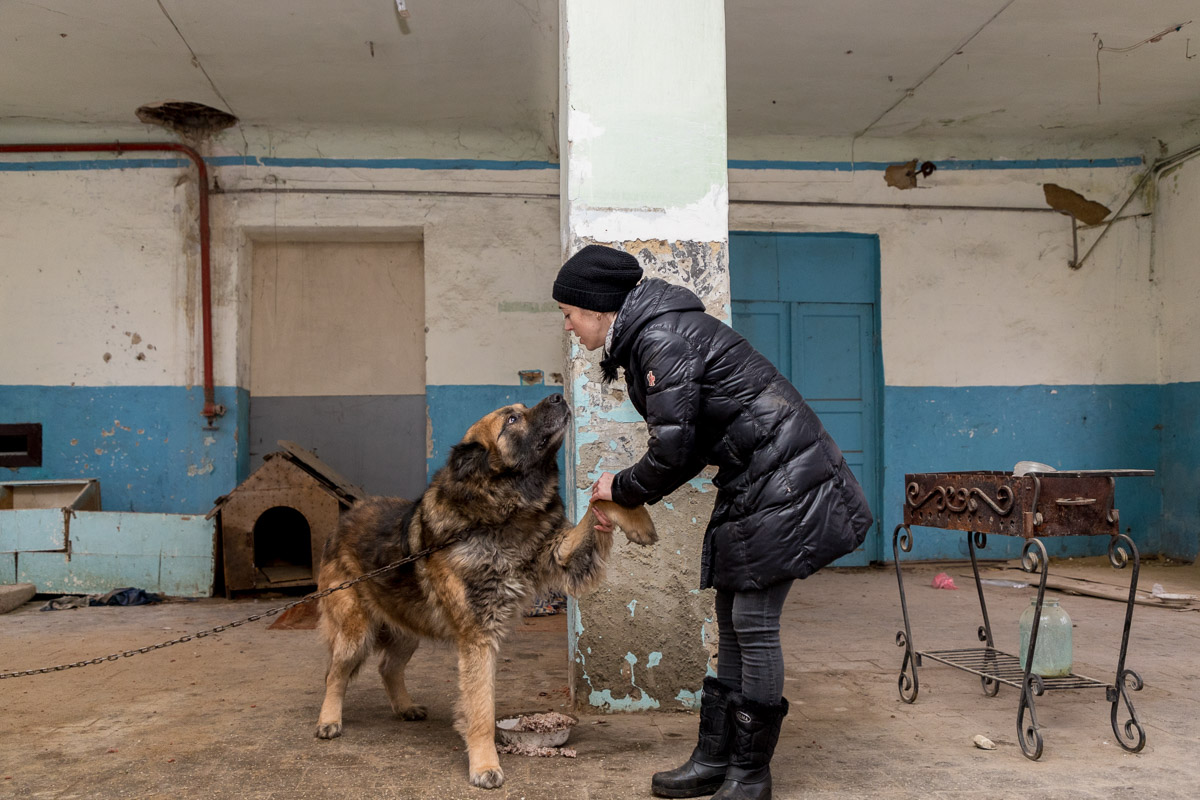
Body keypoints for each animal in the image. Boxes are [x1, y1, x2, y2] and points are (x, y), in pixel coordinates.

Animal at [314, 393, 652, 786]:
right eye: (511, 420)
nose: (558, 396)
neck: (502, 511)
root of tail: (343, 520)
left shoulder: (558, 554)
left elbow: (597, 503)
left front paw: (638, 519)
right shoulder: (478, 636)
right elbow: (480, 708)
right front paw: (485, 765)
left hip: (407, 625)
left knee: (387, 667)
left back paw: (404, 707)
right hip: (355, 630)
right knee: (335, 674)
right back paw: (329, 720)